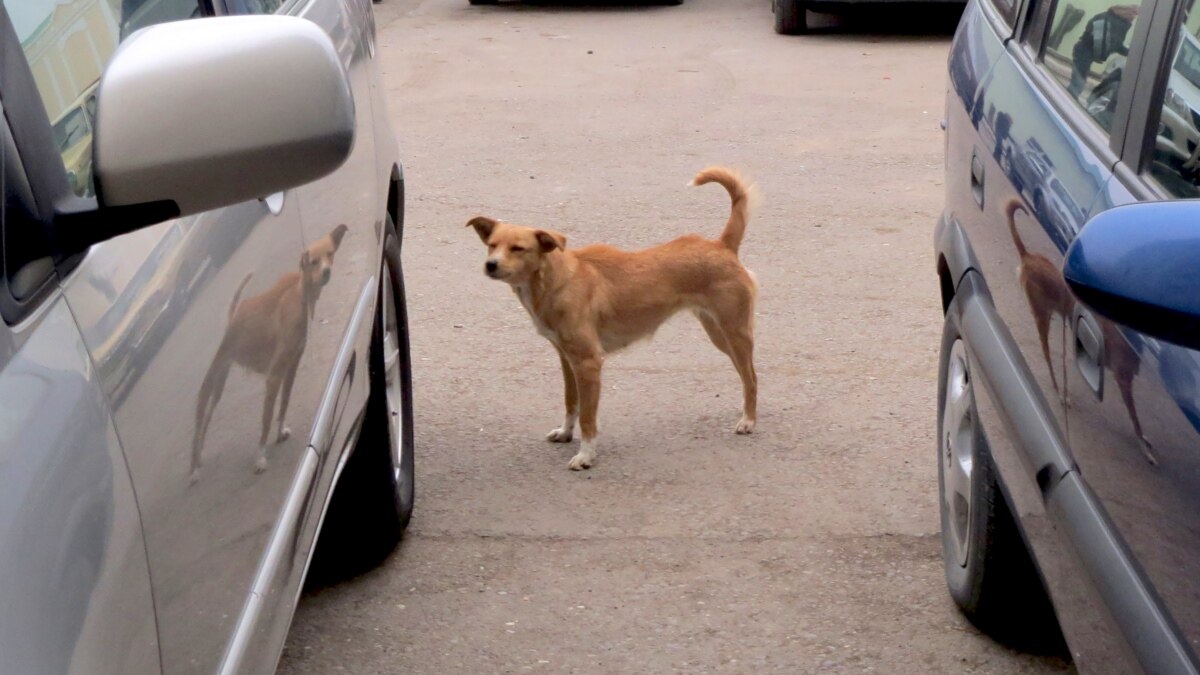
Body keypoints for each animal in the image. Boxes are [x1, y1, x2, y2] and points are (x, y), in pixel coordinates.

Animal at [192, 223, 350, 475]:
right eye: (313, 261)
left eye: (330, 254)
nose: (326, 272)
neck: (300, 298)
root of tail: (233, 316)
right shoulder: (274, 376)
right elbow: (266, 419)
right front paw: (260, 457)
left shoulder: (291, 367)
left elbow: (284, 404)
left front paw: (279, 432)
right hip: (212, 380)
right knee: (200, 419)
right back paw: (194, 469)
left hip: (220, 384)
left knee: (207, 418)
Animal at [465, 165, 753, 468]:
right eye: (491, 245)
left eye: (518, 248)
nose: (490, 264)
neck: (558, 281)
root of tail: (722, 246)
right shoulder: (567, 359)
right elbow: (571, 402)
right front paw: (566, 433)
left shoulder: (588, 363)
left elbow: (588, 418)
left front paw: (586, 455)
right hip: (718, 333)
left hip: (733, 332)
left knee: (751, 377)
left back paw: (749, 420)